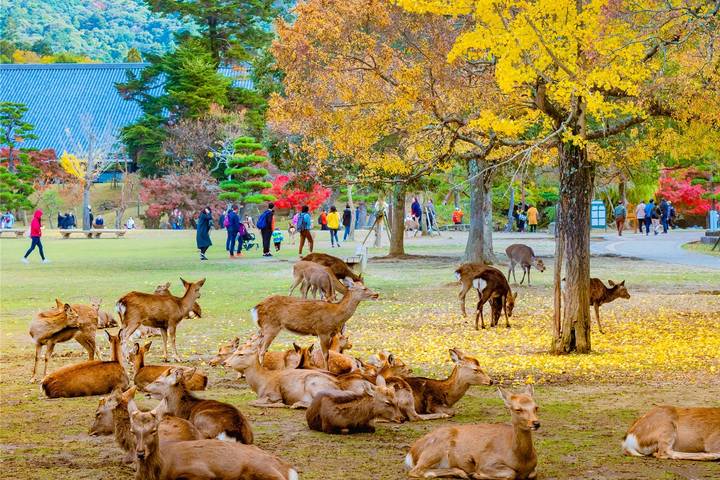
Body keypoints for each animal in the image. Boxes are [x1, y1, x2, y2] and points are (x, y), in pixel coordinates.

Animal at [129, 403, 299, 480]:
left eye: (154, 430)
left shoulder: (201, 472)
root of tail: (289, 468)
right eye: (132, 431)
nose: (140, 453)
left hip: (262, 468)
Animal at [405, 384, 540, 479]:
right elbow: (510, 473)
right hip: (434, 449)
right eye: (517, 409)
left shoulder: (533, 470)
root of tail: (411, 453)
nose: (536, 423)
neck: (521, 460)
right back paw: (464, 473)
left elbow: (533, 474)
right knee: (415, 471)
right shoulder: (487, 461)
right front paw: (477, 474)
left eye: (536, 407)